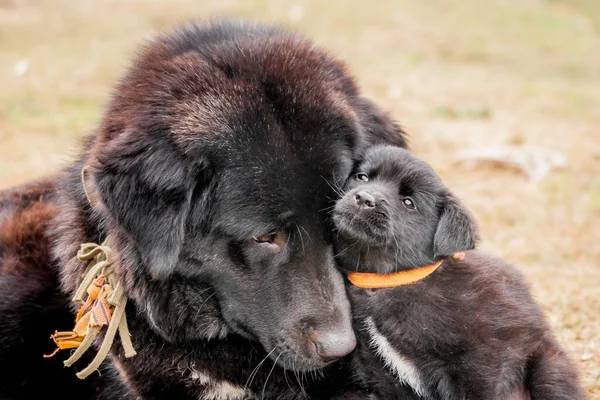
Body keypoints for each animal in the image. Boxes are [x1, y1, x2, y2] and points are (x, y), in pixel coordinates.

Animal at [330, 146, 584, 400]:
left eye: (409, 203)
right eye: (362, 177)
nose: (365, 199)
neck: (389, 282)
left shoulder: (478, 363)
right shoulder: (381, 374)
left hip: (549, 369)